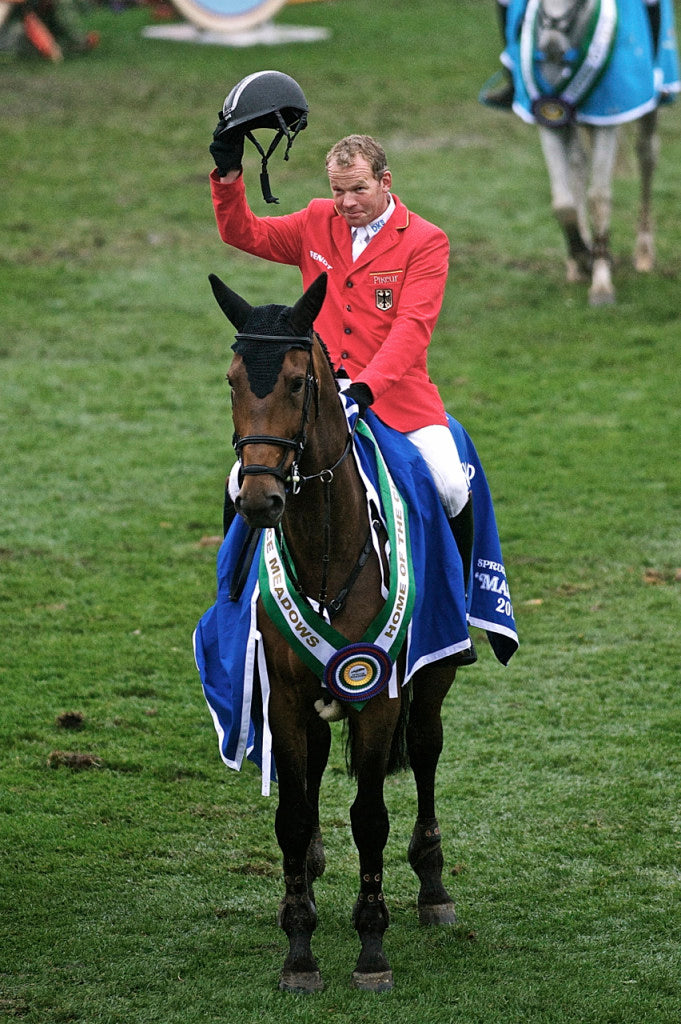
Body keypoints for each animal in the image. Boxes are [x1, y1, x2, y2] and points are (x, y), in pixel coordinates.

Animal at [209, 270, 458, 991]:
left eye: (297, 382)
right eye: (232, 380)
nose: (259, 499)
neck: (326, 548)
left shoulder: (379, 693)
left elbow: (370, 816)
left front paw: (371, 949)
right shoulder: (287, 698)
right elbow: (293, 816)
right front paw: (299, 947)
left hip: (432, 673)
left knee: (426, 749)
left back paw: (433, 887)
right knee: (318, 772)